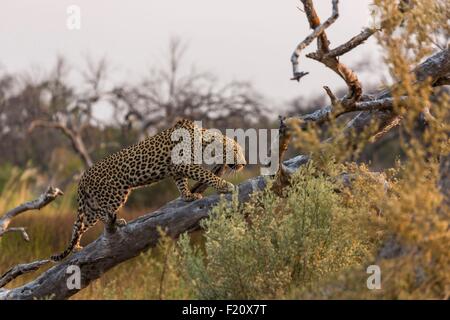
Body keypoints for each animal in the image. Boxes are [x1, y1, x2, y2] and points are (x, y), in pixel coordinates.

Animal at [51, 119, 246, 262]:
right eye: (235, 150)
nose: (244, 164)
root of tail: (84, 175)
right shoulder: (185, 165)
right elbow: (206, 174)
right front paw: (225, 185)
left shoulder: (178, 170)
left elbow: (182, 183)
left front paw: (188, 196)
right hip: (114, 194)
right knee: (101, 214)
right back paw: (116, 222)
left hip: (92, 203)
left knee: (79, 224)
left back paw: (76, 247)